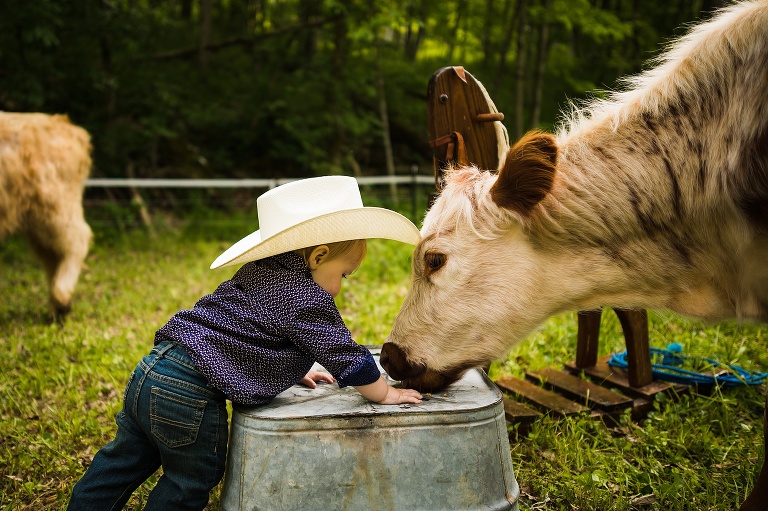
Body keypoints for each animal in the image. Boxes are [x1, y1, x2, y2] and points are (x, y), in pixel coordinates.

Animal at [0, 112, 93, 320]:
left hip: (55, 205)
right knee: (53, 256)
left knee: (78, 239)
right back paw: (57, 308)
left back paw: (62, 297)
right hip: (36, 219)